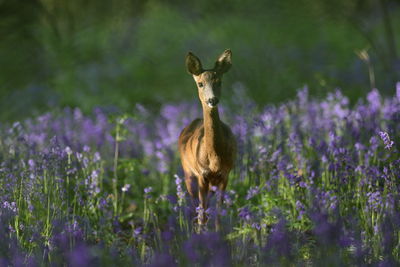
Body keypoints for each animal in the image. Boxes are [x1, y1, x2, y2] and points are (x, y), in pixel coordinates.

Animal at [179, 49, 238, 229]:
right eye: (200, 84)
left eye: (219, 81)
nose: (212, 100)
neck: (214, 158)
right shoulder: (202, 175)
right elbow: (202, 212)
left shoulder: (225, 174)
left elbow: (217, 212)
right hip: (187, 172)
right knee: (195, 206)